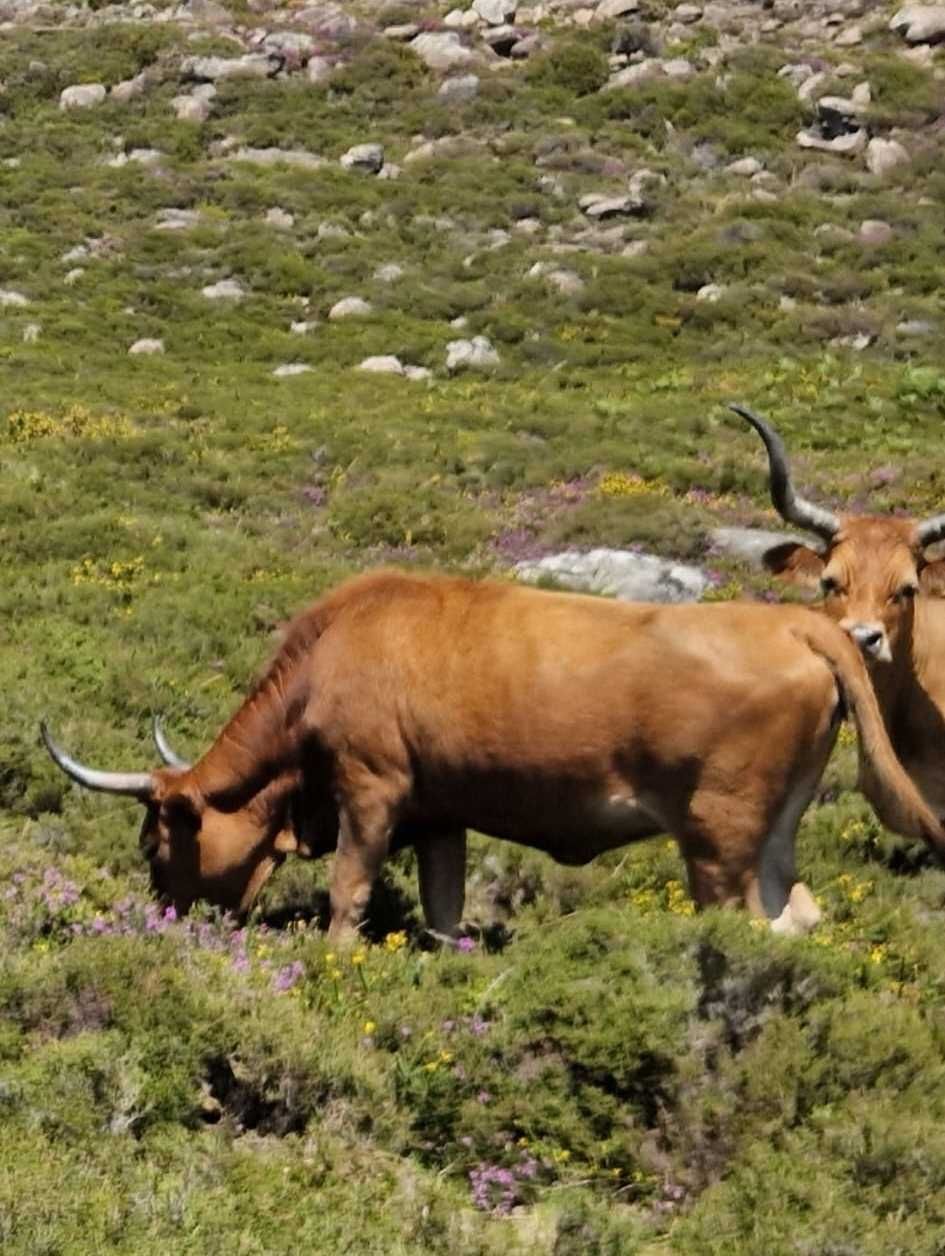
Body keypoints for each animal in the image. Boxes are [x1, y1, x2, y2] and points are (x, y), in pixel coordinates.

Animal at [38, 570, 945, 944]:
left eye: (153, 842)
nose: (162, 916)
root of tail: (796, 623)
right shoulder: (442, 816)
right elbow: (443, 914)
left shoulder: (371, 789)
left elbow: (346, 894)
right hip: (776, 830)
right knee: (796, 915)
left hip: (719, 839)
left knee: (742, 928)